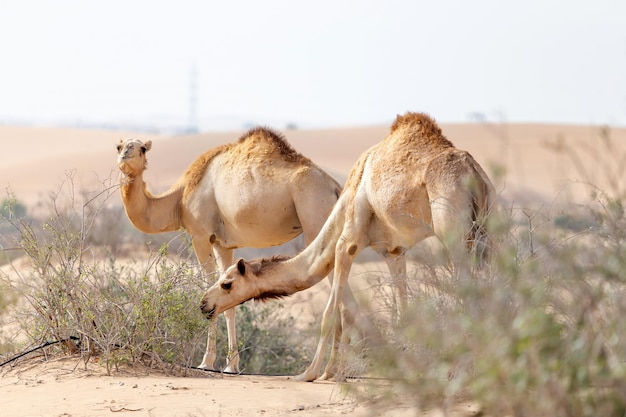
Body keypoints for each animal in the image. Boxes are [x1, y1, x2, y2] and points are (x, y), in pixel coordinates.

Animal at [117, 127, 342, 370]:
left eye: (142, 148)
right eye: (119, 146)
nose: (125, 155)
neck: (179, 200)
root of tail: (335, 188)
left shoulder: (201, 236)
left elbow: (209, 288)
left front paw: (206, 362)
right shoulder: (222, 244)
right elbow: (228, 301)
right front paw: (231, 366)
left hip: (315, 217)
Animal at [197, 111, 494, 380]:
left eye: (227, 283)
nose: (203, 303)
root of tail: (474, 171)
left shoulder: (347, 242)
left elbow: (330, 313)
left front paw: (309, 374)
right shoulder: (394, 252)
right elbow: (401, 312)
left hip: (452, 229)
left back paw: (464, 370)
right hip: (487, 232)